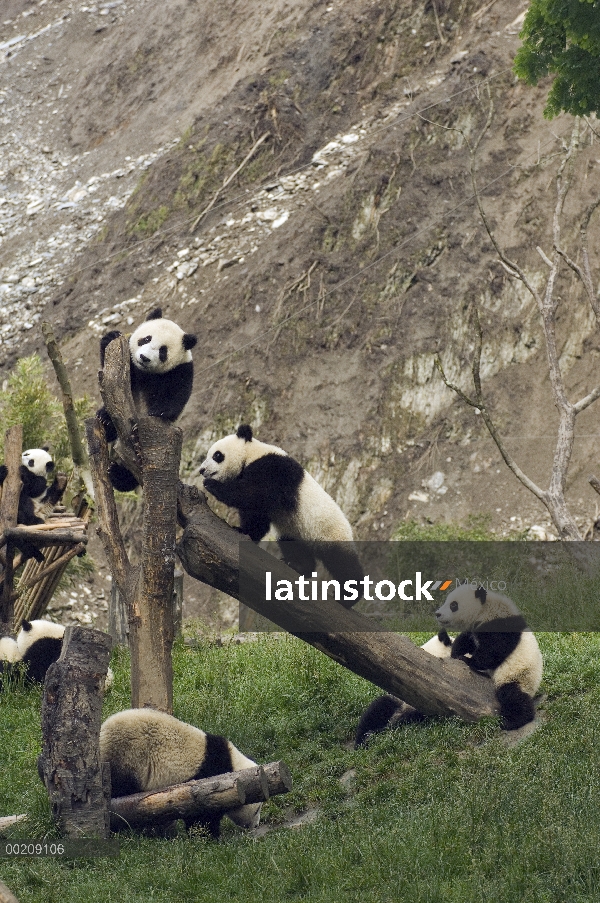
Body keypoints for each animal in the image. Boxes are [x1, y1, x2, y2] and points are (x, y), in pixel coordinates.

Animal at [99, 708, 262, 836]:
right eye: (257, 809)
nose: (255, 825)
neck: (233, 766)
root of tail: (102, 734)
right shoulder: (209, 775)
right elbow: (203, 814)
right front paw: (207, 836)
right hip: (128, 756)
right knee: (120, 790)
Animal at [199, 426, 364, 600]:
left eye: (217, 455)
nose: (202, 470)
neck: (251, 453)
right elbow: (256, 515)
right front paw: (243, 531)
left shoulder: (274, 469)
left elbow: (251, 494)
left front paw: (212, 485)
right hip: (294, 531)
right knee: (296, 548)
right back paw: (298, 566)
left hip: (329, 531)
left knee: (342, 562)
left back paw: (348, 596)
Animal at [356, 588, 544, 748]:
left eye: (453, 605)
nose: (438, 613)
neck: (486, 608)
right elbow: (467, 641)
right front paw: (459, 651)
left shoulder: (500, 624)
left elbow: (492, 652)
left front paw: (468, 660)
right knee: (379, 708)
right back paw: (364, 739)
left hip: (518, 675)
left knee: (512, 696)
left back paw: (513, 721)